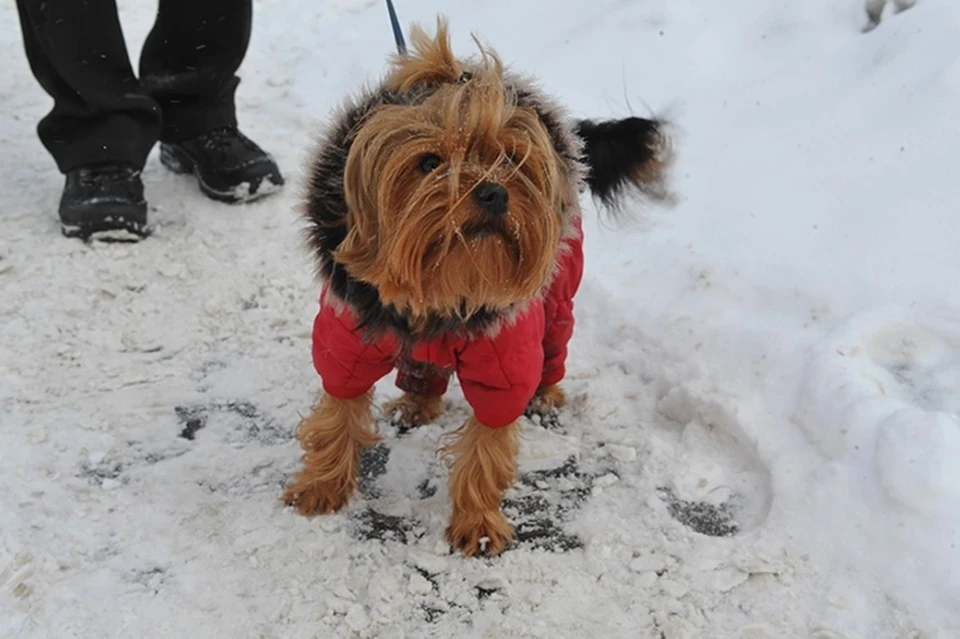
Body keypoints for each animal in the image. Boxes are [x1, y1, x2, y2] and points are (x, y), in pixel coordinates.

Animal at [282, 17, 676, 556]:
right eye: (429, 163)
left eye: (510, 157)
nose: (493, 191)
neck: (440, 292)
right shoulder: (348, 331)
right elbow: (338, 404)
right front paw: (321, 484)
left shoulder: (503, 351)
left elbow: (490, 436)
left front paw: (478, 522)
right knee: (424, 367)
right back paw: (417, 402)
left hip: (558, 295)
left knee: (555, 340)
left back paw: (545, 393)